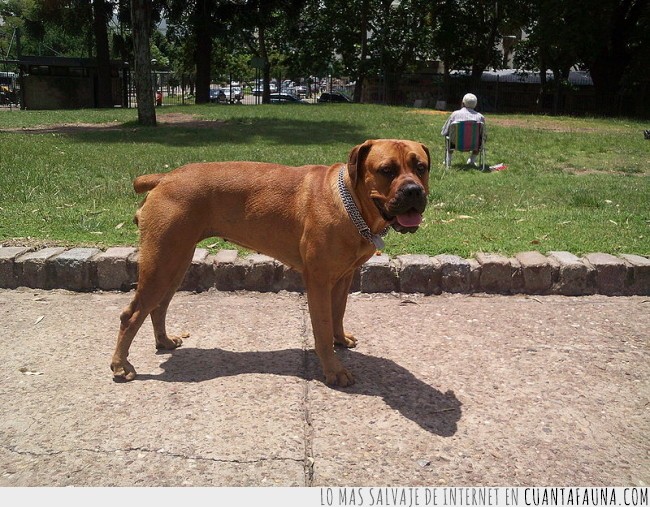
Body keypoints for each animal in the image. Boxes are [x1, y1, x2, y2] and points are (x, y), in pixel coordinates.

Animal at [109, 138, 428, 384]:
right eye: (386, 170)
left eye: (421, 167)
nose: (414, 191)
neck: (350, 201)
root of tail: (164, 177)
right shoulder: (319, 281)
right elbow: (323, 327)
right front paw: (333, 369)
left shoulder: (344, 276)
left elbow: (338, 314)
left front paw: (340, 340)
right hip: (161, 263)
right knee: (131, 315)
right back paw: (121, 366)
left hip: (175, 263)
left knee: (158, 307)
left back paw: (163, 341)